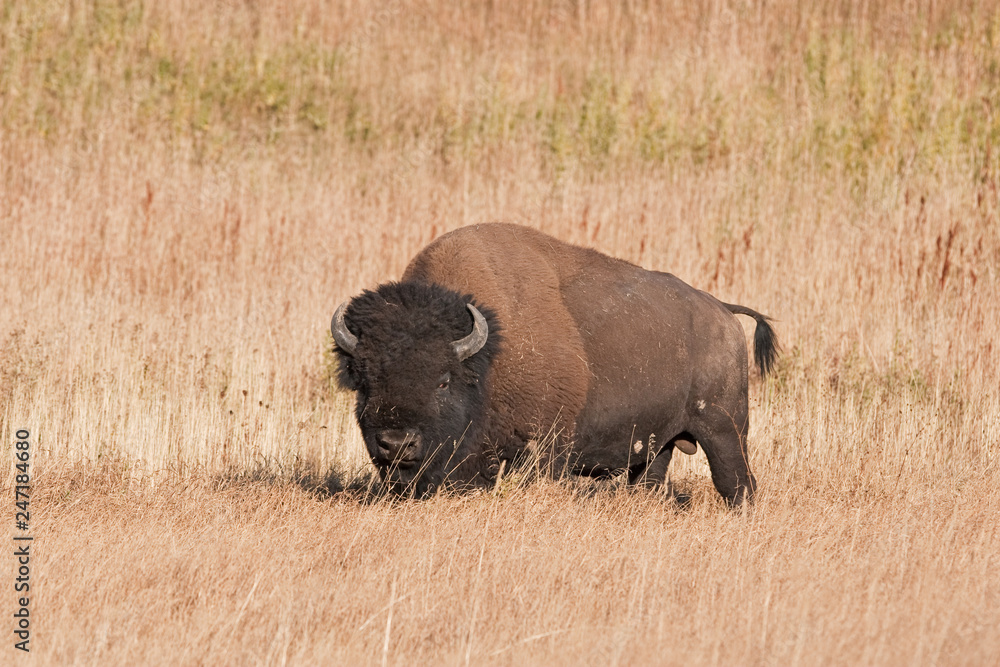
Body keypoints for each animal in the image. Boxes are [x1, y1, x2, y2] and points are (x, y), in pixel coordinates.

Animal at [332, 223, 777, 505]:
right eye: (364, 380)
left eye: (443, 381)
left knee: (737, 483)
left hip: (724, 429)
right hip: (658, 444)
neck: (487, 355)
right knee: (650, 480)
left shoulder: (542, 449)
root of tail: (721, 310)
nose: (396, 444)